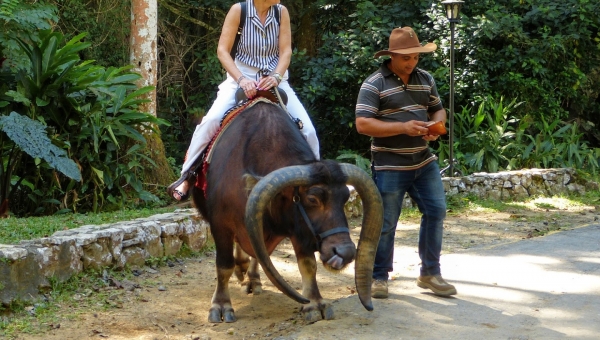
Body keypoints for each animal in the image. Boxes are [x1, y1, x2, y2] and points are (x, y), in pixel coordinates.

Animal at [190, 97, 382, 322]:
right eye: (312, 199)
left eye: (344, 197)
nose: (346, 252)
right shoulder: (220, 226)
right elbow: (224, 265)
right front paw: (221, 305)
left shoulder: (299, 229)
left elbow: (308, 264)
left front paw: (315, 303)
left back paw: (252, 278)